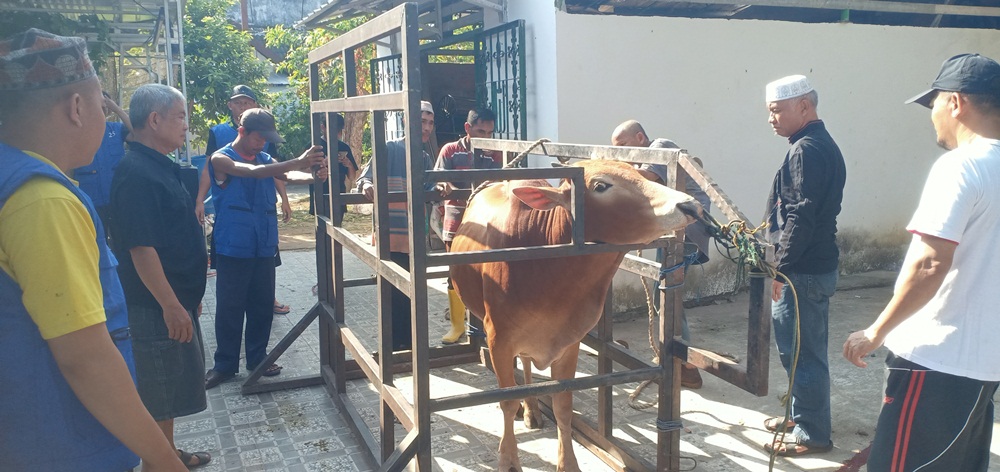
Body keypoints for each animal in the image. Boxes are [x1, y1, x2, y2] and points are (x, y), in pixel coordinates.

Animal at [450, 159, 700, 472]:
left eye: (643, 175)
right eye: (601, 185)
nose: (691, 205)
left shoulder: (569, 344)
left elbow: (563, 405)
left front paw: (567, 462)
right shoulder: (499, 339)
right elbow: (507, 400)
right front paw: (508, 461)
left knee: (527, 366)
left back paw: (532, 410)